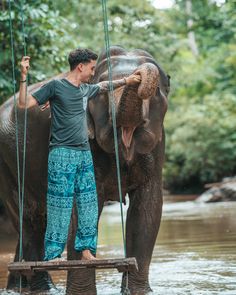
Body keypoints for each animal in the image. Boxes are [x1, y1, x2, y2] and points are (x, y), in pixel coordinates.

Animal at [0, 45, 170, 294]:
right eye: (102, 91)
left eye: (156, 91)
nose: (137, 76)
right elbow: (84, 205)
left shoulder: (157, 147)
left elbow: (148, 209)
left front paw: (140, 292)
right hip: (8, 162)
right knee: (31, 219)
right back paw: (45, 289)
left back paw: (18, 287)